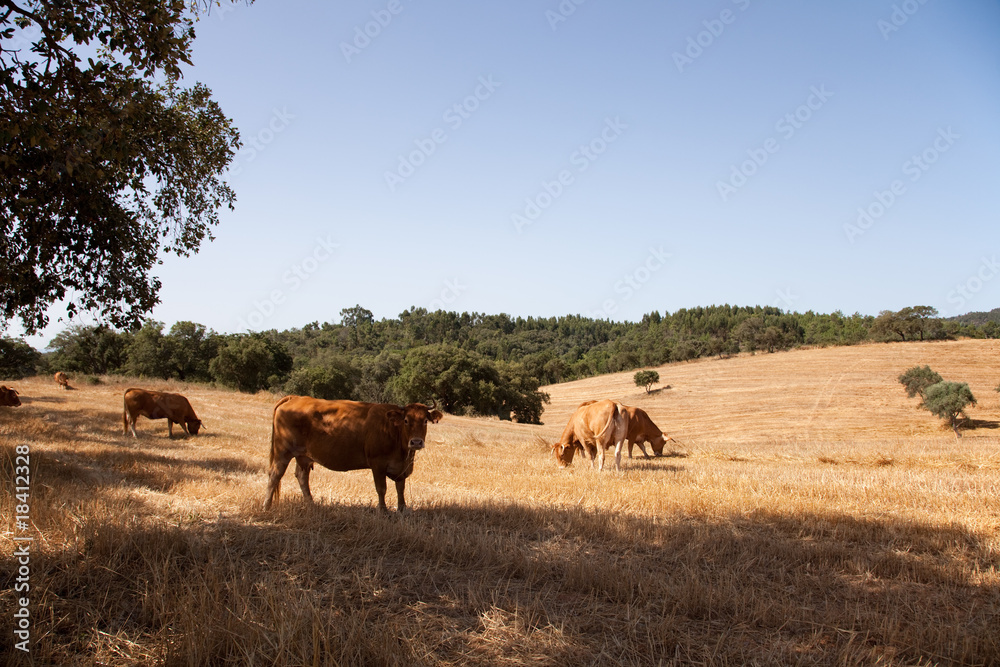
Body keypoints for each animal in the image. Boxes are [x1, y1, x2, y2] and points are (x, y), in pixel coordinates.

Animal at [266, 400, 442, 516]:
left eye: (425, 421)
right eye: (406, 420)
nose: (416, 442)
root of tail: (294, 398)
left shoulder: (401, 468)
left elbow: (400, 489)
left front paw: (402, 509)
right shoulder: (377, 464)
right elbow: (381, 489)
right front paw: (383, 511)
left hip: (303, 456)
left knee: (302, 477)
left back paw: (311, 504)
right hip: (282, 452)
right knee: (275, 475)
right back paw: (266, 506)